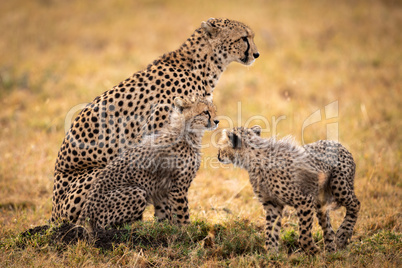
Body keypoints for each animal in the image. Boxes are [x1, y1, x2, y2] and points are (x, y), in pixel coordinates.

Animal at [77, 96, 218, 232]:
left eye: (214, 110)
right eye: (205, 112)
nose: (217, 121)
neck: (187, 133)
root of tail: (83, 214)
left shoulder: (163, 189)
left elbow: (164, 214)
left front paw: (166, 228)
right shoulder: (178, 187)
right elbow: (182, 213)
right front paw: (187, 230)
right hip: (137, 192)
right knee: (101, 226)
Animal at [218, 126, 360, 254]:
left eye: (220, 147)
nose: (218, 156)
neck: (253, 160)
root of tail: (338, 144)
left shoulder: (304, 201)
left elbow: (304, 235)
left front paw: (313, 251)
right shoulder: (272, 204)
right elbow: (271, 232)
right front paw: (272, 256)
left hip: (339, 185)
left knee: (355, 204)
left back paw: (342, 235)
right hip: (321, 202)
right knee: (328, 229)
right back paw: (331, 252)